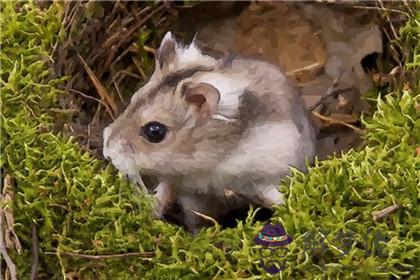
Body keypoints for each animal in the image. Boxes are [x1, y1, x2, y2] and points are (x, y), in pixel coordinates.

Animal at [103, 31, 316, 232]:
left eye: (154, 131)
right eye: (131, 100)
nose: (107, 154)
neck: (207, 161)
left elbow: (276, 197)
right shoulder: (178, 181)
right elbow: (163, 196)